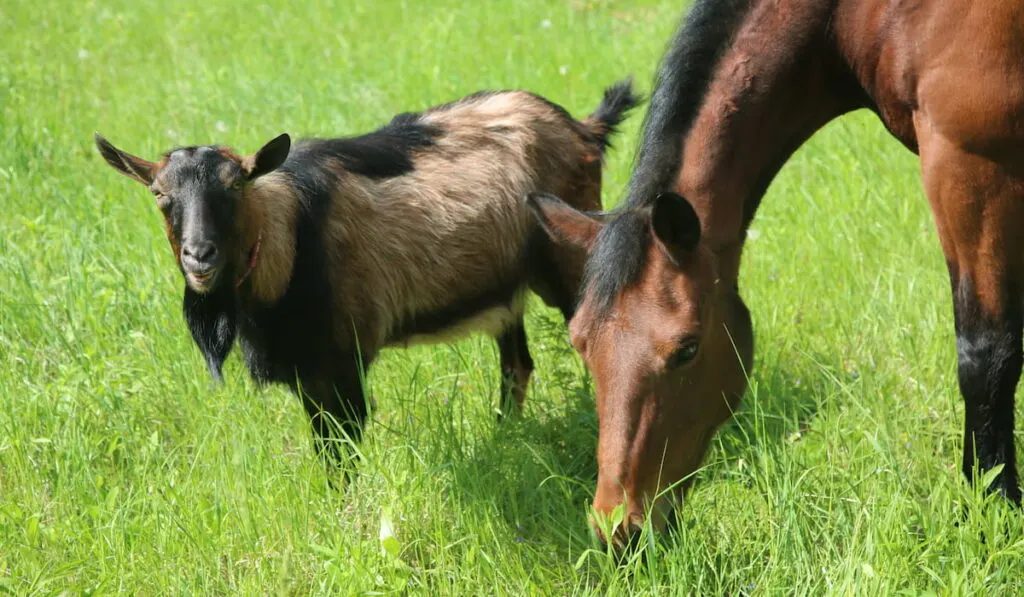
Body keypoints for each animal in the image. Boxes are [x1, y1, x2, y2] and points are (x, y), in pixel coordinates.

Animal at [528, 0, 1024, 544]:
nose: (618, 531)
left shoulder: (971, 166)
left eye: (687, 349)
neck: (869, 19)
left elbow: (986, 358)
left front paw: (990, 514)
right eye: (581, 344)